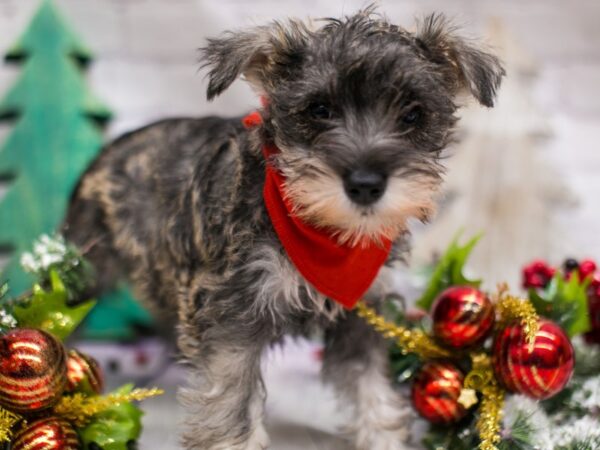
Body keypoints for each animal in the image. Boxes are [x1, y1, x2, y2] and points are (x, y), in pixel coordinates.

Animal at [64, 8, 502, 450]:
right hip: (85, 270)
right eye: (319, 109)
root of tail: (108, 150)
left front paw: (385, 438)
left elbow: (371, 390)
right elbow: (230, 400)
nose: (365, 184)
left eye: (413, 114)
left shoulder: (362, 315)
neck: (326, 234)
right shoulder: (232, 317)